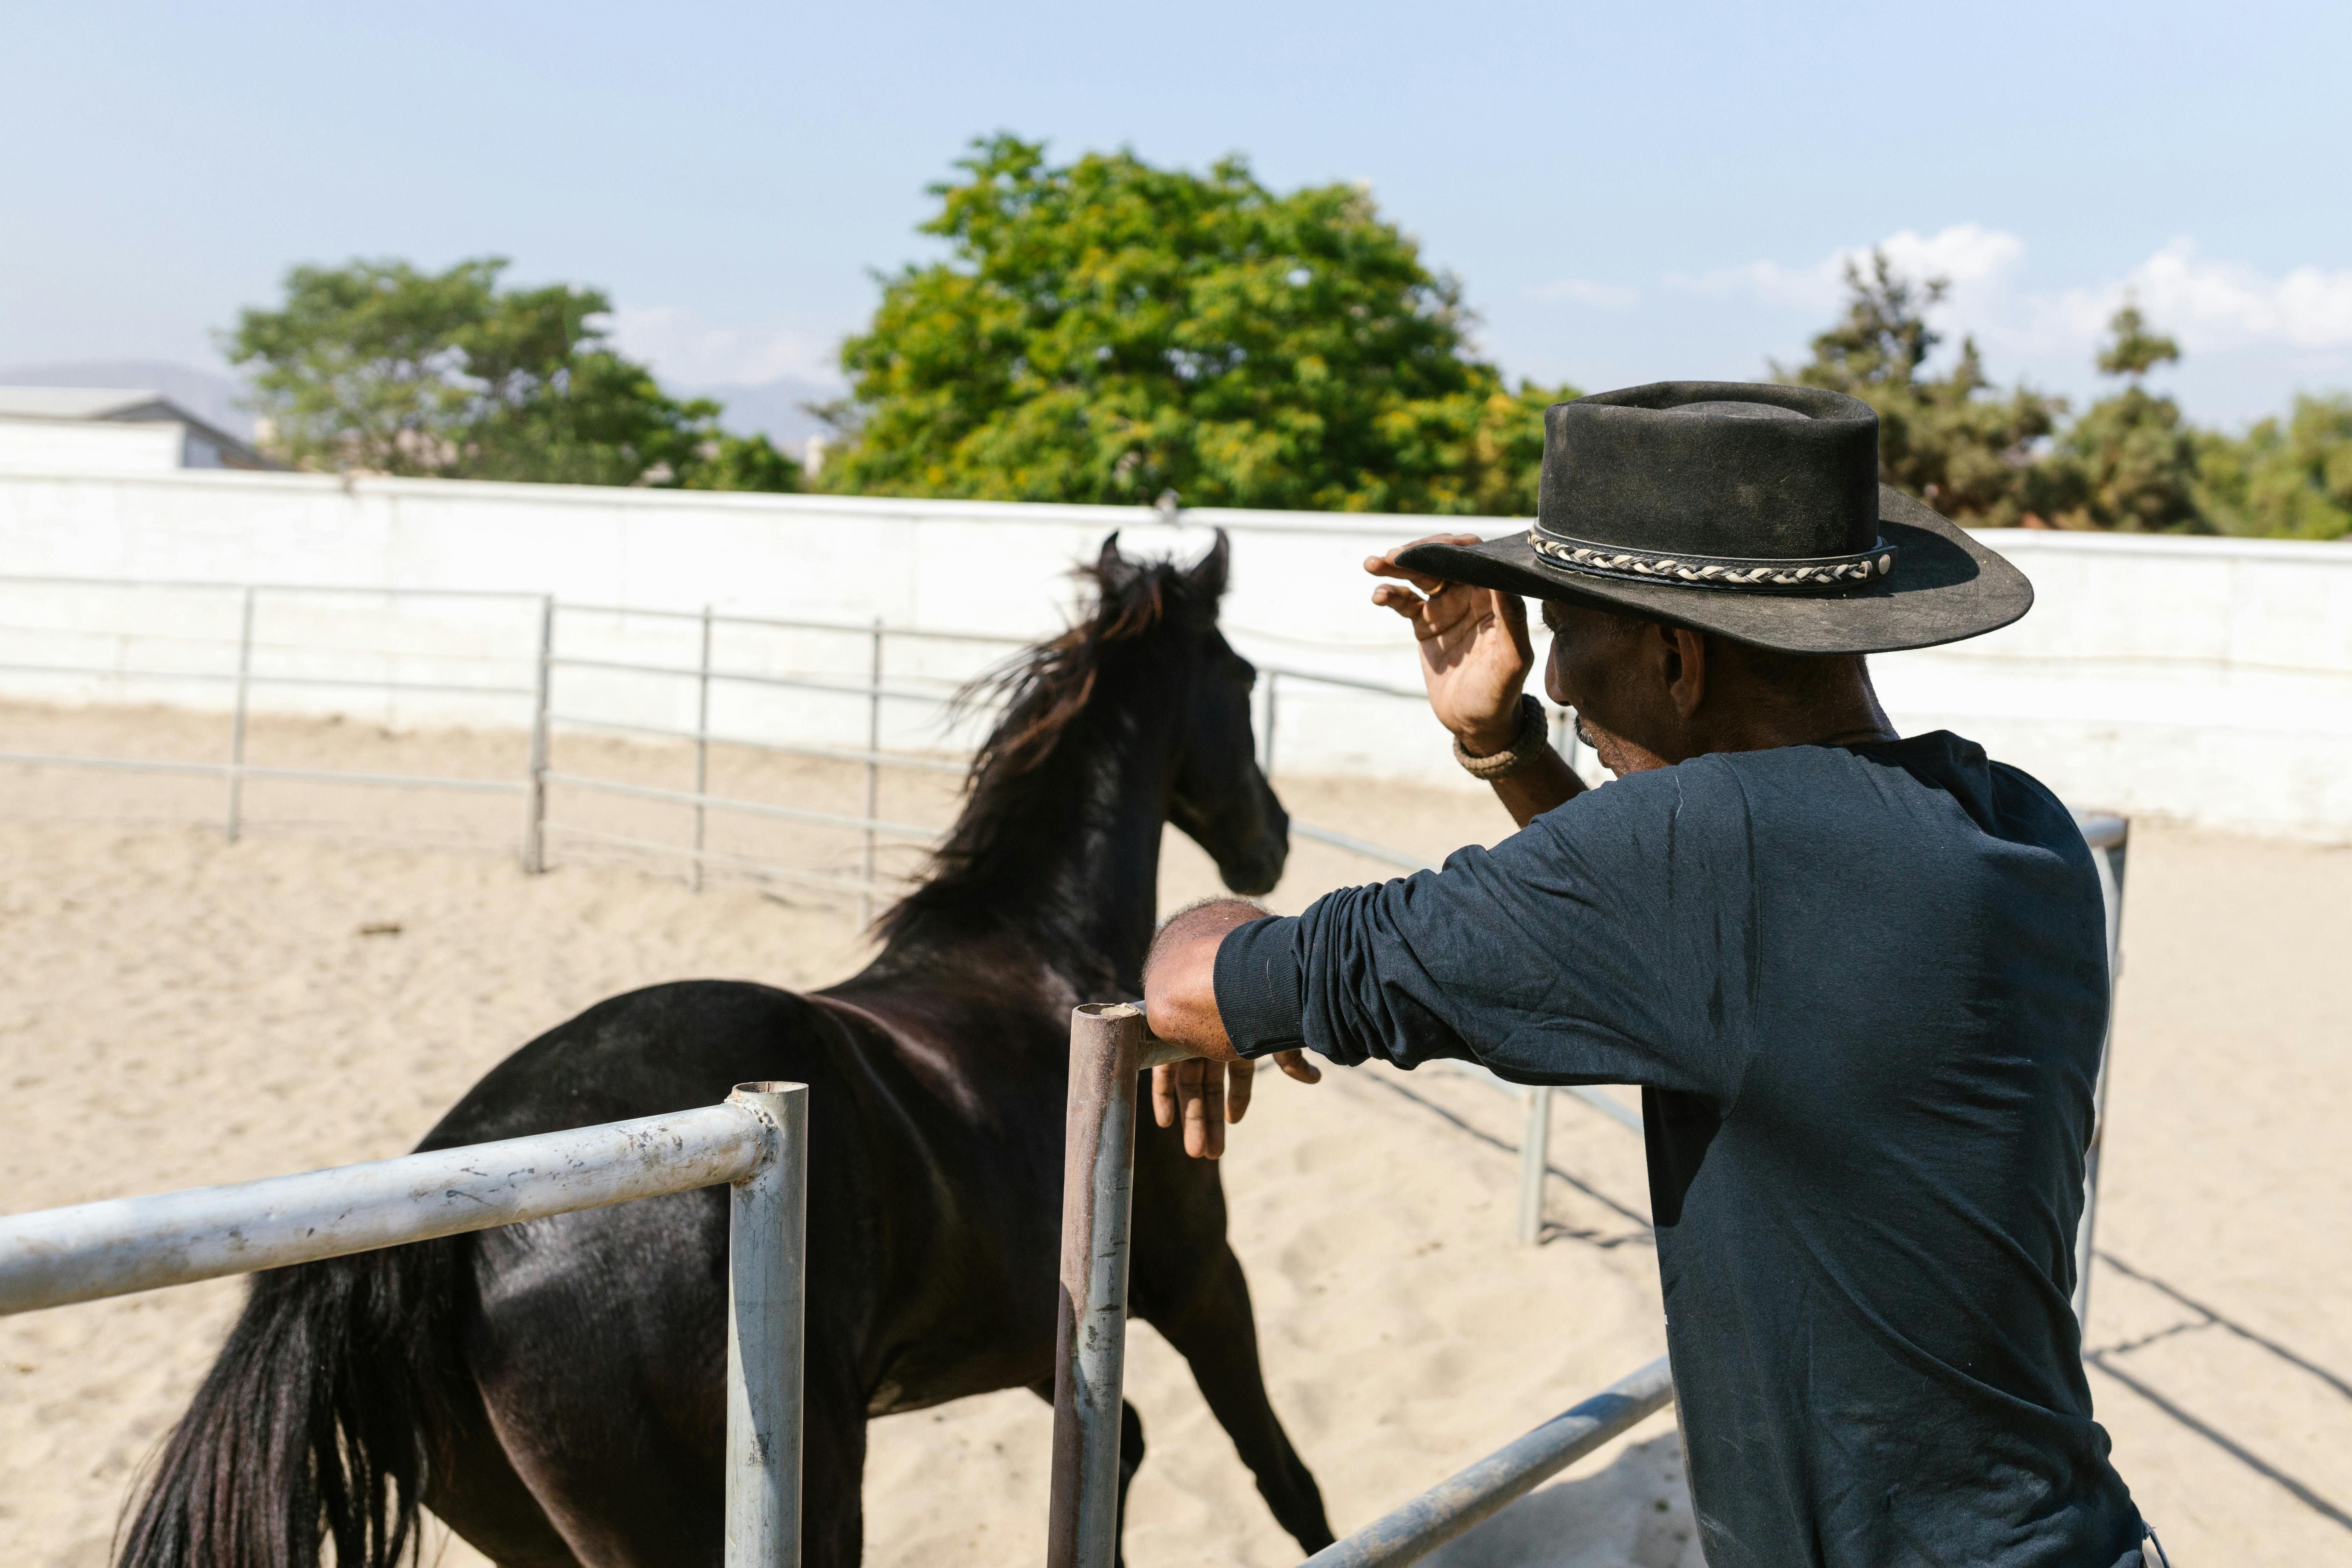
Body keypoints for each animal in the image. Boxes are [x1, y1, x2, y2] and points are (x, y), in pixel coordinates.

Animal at [119, 533, 1336, 1561]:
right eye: (1242, 678)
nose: (1273, 837)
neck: (1047, 958)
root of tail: (450, 1209)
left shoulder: (1038, 1342)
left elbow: (1111, 1459)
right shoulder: (1201, 1281)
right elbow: (1283, 1481)